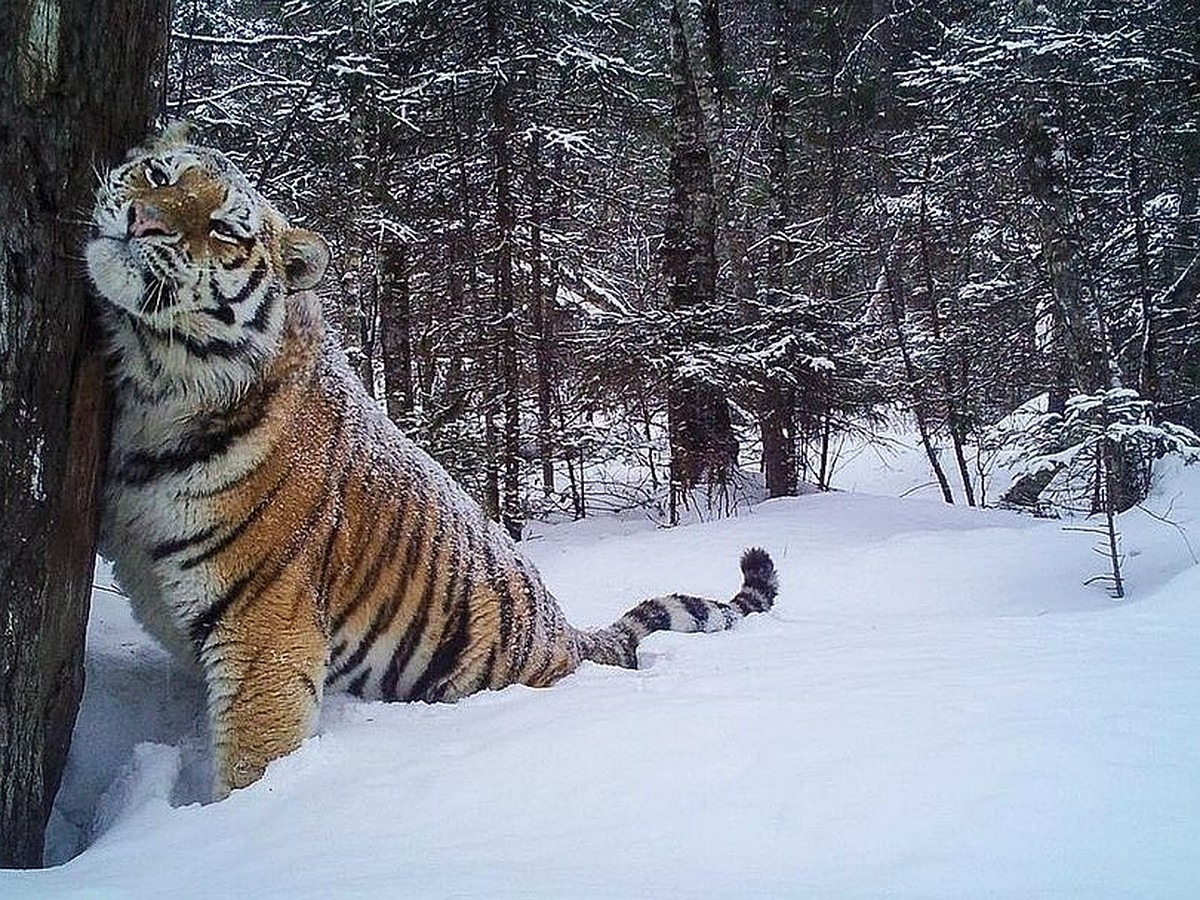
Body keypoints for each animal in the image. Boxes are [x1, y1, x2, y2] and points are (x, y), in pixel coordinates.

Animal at [84, 127, 777, 796]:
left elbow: (253, 764)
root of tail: (569, 635)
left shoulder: (264, 633)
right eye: (159, 174)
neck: (153, 385)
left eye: (224, 228)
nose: (142, 220)